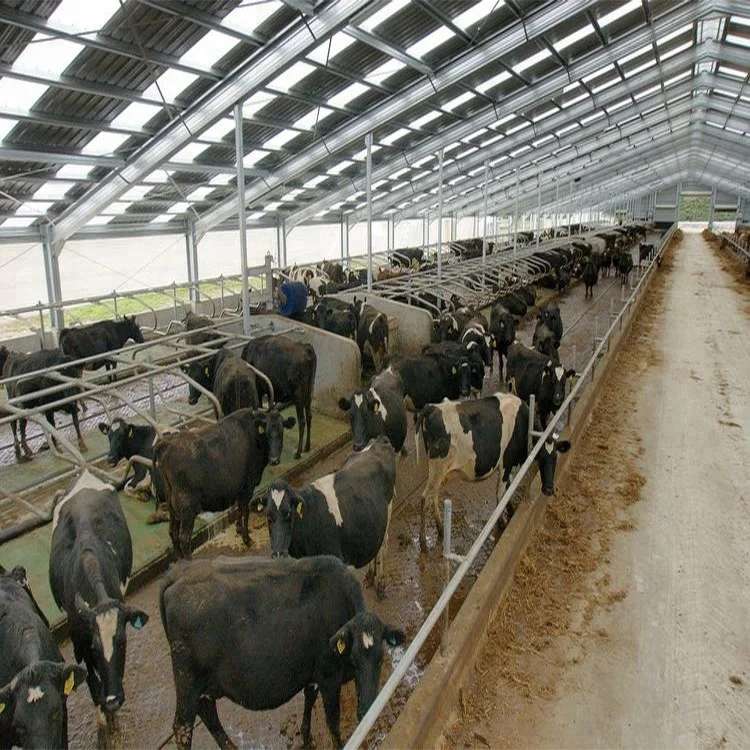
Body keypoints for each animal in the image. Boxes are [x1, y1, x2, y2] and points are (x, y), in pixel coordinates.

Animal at [49, 472, 148, 739]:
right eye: (94, 645)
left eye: (122, 641)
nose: (114, 699)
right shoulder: (79, 642)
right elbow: (92, 682)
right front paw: (104, 719)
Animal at [154, 407, 296, 555]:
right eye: (267, 433)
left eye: (281, 432)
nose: (274, 460)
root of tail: (166, 443)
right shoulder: (248, 486)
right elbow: (245, 511)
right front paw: (246, 539)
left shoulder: (240, 487)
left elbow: (239, 509)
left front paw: (238, 529)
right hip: (187, 506)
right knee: (184, 538)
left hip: (172, 504)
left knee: (172, 532)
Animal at [160, 555, 405, 750]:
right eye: (352, 658)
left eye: (381, 658)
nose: (367, 710)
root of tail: (178, 572)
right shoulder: (329, 677)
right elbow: (333, 721)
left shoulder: (312, 672)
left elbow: (309, 699)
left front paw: (306, 738)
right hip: (187, 680)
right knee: (182, 727)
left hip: (205, 684)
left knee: (207, 712)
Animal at [261, 435, 396, 596]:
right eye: (268, 516)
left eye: (288, 513)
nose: (278, 555)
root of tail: (378, 440)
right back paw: (370, 576)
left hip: (388, 512)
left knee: (383, 545)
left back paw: (380, 583)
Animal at [414, 393, 572, 551]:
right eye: (541, 458)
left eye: (555, 459)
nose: (548, 489)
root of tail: (431, 408)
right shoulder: (506, 462)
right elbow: (501, 492)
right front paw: (501, 521)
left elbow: (508, 487)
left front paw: (511, 510)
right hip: (438, 468)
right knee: (427, 497)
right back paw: (429, 538)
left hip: (438, 472)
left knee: (429, 496)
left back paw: (434, 532)